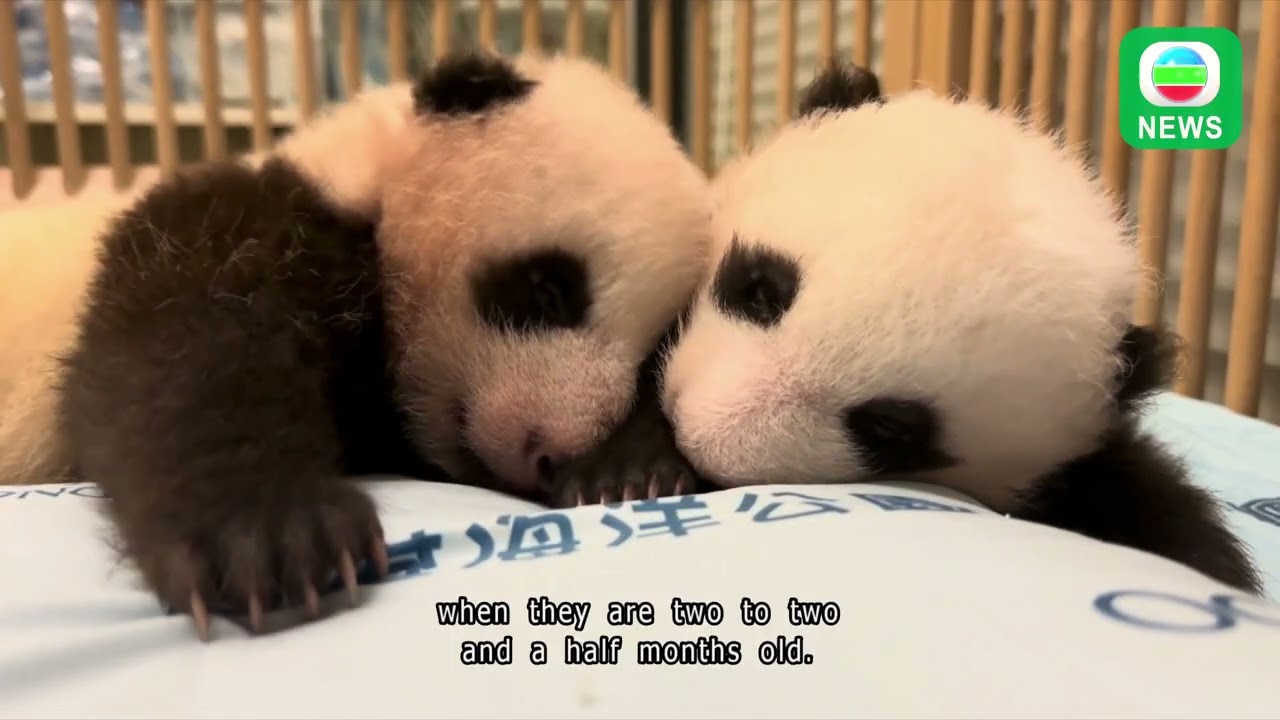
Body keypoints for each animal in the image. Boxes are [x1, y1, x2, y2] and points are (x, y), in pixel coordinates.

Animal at [0, 50, 714, 637]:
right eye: (547, 290)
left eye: (649, 352)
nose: (552, 454)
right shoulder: (228, 224)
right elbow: (185, 346)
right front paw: (272, 534)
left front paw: (624, 473)